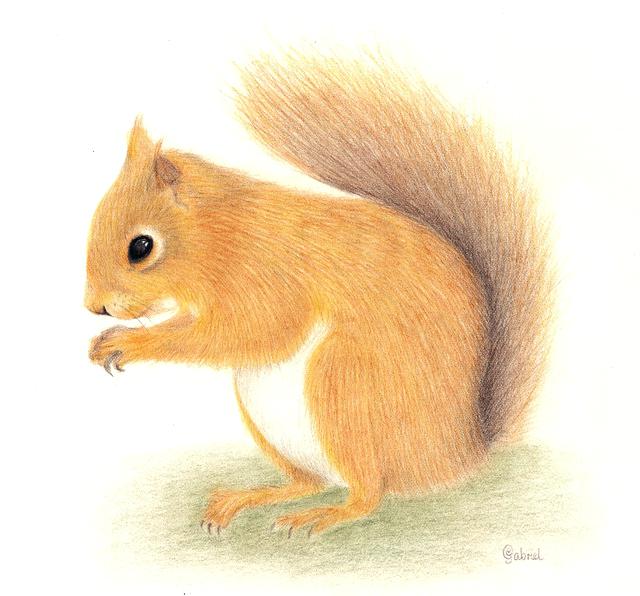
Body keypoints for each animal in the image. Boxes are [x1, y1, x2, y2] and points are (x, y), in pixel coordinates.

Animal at [85, 52, 554, 535]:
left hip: (343, 380)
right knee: (309, 481)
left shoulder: (267, 281)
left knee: (368, 492)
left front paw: (130, 342)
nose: (94, 306)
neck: (222, 231)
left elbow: (244, 334)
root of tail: (461, 453)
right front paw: (104, 342)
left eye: (141, 247)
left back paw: (326, 515)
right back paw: (247, 498)